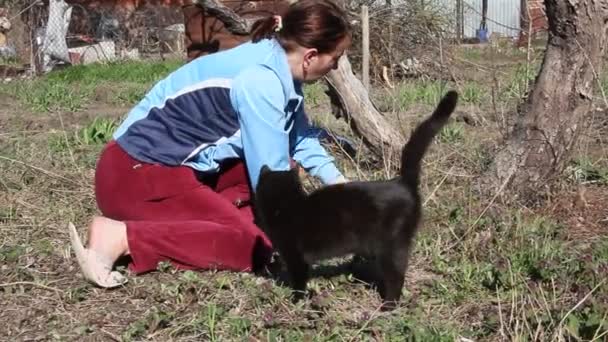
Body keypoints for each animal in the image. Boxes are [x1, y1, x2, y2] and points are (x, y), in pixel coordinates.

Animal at [254, 90, 458, 310]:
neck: (288, 205)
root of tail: (402, 181)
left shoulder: (296, 258)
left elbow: (299, 282)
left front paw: (296, 302)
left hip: (391, 245)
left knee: (396, 276)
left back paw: (388, 306)